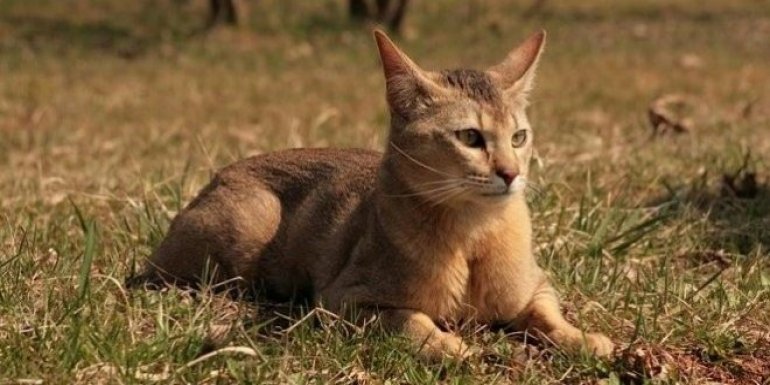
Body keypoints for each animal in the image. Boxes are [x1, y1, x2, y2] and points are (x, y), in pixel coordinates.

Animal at [136, 30, 612, 360]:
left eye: (519, 136)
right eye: (470, 137)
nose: (512, 174)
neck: (473, 235)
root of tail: (221, 172)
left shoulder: (538, 287)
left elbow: (549, 316)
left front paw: (586, 340)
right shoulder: (341, 301)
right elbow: (411, 320)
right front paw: (450, 346)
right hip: (241, 236)